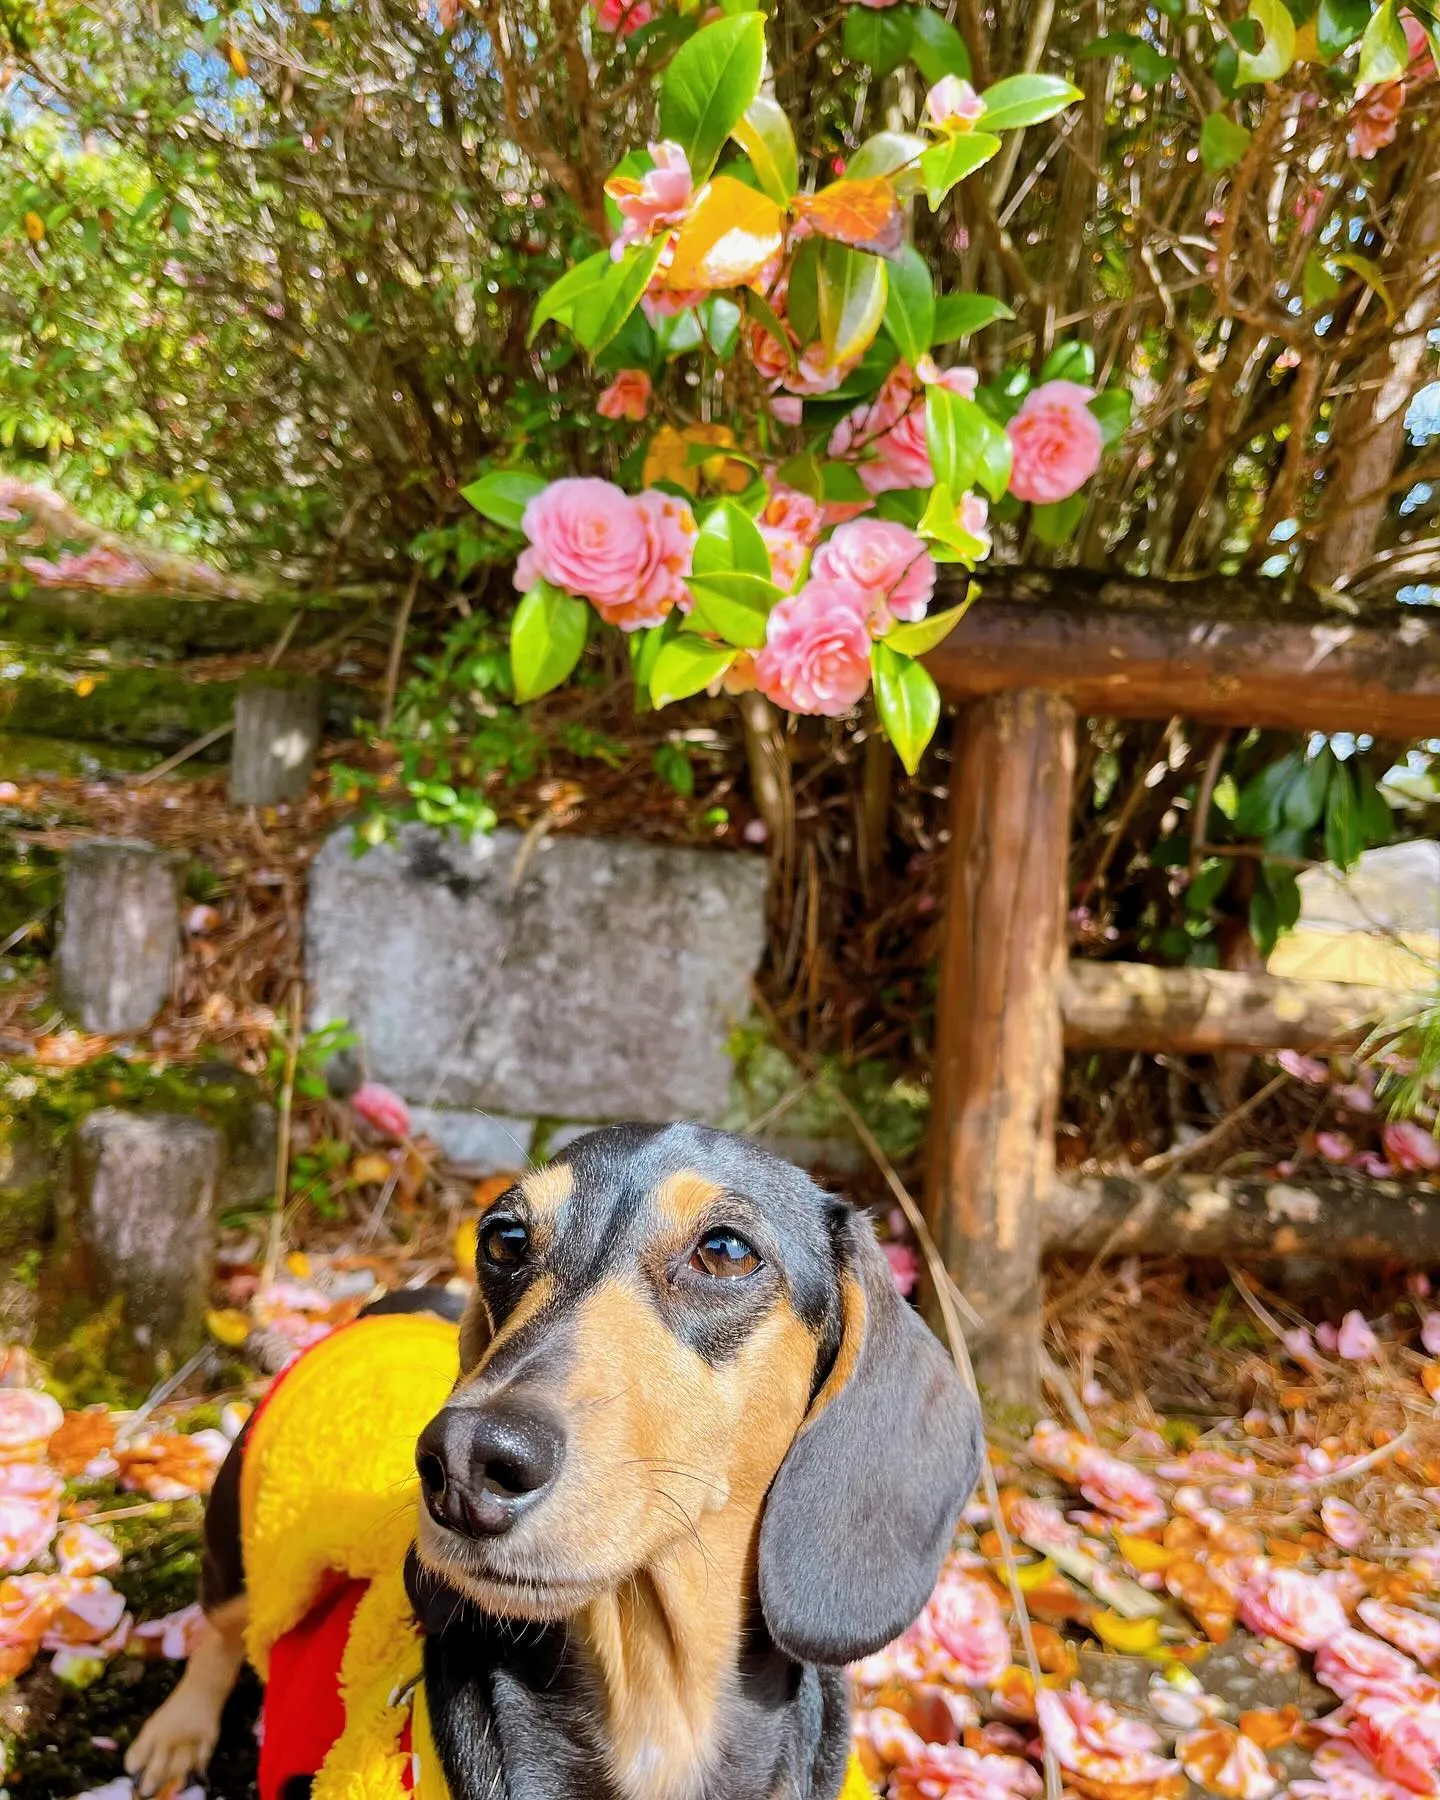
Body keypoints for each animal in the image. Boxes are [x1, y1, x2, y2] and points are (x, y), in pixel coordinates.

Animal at [129, 1123, 986, 1800]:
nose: (464, 1463)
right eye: (503, 1238)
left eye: (725, 1251)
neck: (657, 1704)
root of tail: (391, 1303)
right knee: (222, 1631)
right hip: (237, 1527)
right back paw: (175, 1733)